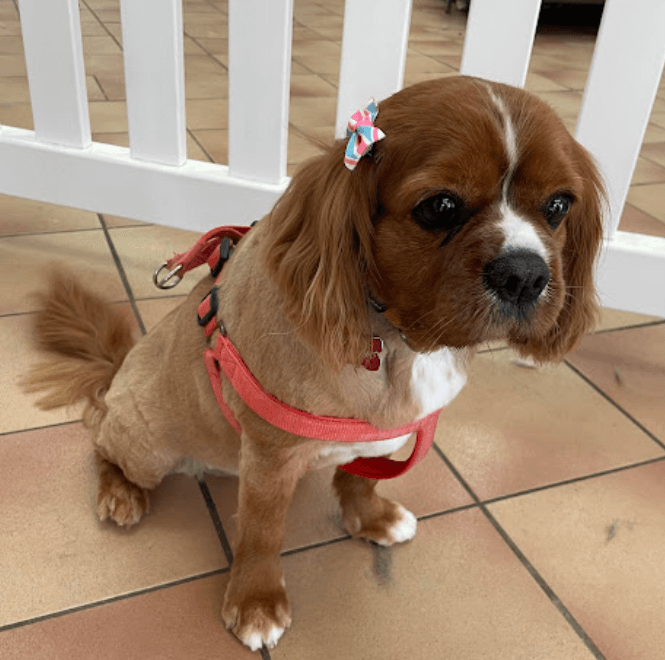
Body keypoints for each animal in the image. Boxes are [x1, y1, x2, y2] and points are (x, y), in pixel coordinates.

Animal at [22, 76, 600, 648]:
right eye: (440, 206)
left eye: (558, 205)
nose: (525, 275)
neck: (396, 342)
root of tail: (120, 368)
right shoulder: (271, 458)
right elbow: (261, 533)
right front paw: (256, 603)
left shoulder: (386, 431)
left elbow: (363, 478)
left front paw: (369, 518)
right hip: (148, 444)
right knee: (101, 439)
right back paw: (121, 491)